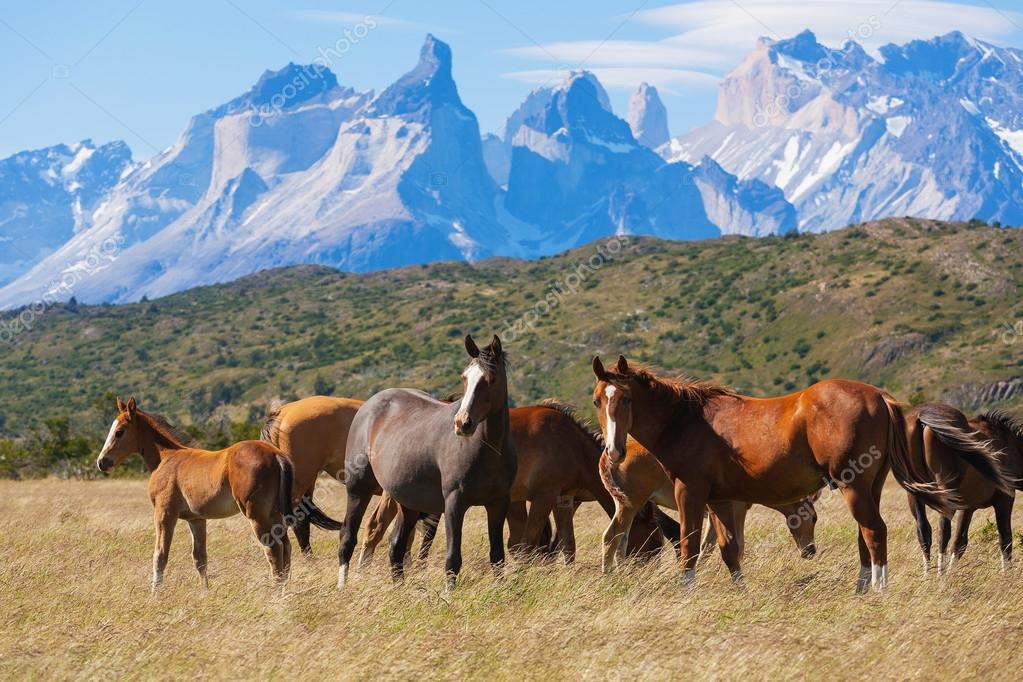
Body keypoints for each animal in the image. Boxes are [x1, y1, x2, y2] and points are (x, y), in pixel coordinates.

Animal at [94, 397, 340, 593]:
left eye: (119, 432)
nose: (102, 462)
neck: (167, 457)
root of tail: (276, 454)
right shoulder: (196, 519)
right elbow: (200, 558)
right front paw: (205, 593)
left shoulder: (165, 513)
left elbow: (160, 555)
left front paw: (155, 595)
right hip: (274, 513)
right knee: (286, 548)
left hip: (256, 514)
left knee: (273, 549)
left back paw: (275, 593)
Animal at [339, 335, 516, 589]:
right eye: (464, 377)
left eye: (491, 379)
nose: (462, 423)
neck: (489, 449)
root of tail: (369, 405)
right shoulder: (454, 502)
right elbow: (453, 559)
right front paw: (449, 595)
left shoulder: (498, 503)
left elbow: (497, 557)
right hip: (358, 489)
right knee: (348, 537)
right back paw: (342, 587)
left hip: (408, 502)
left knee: (396, 546)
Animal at [599, 437, 820, 573]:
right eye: (814, 518)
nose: (810, 551)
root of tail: (607, 457)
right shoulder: (736, 509)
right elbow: (737, 544)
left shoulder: (713, 515)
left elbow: (707, 546)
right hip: (630, 506)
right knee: (611, 537)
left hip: (628, 506)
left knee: (622, 540)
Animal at [905, 405, 1021, 574]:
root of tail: (922, 418)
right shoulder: (1005, 499)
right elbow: (1005, 540)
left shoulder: (968, 508)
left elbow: (959, 542)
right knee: (943, 531)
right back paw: (941, 577)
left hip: (914, 495)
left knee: (924, 532)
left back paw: (928, 576)